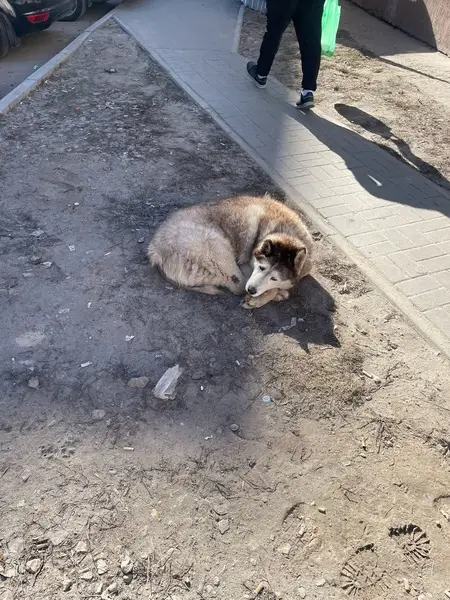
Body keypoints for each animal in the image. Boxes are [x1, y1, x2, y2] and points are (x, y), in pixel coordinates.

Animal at [148, 194, 313, 309]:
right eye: (261, 268)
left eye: (274, 277)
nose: (252, 290)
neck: (288, 232)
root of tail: (156, 251)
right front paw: (263, 298)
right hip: (217, 250)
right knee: (239, 286)